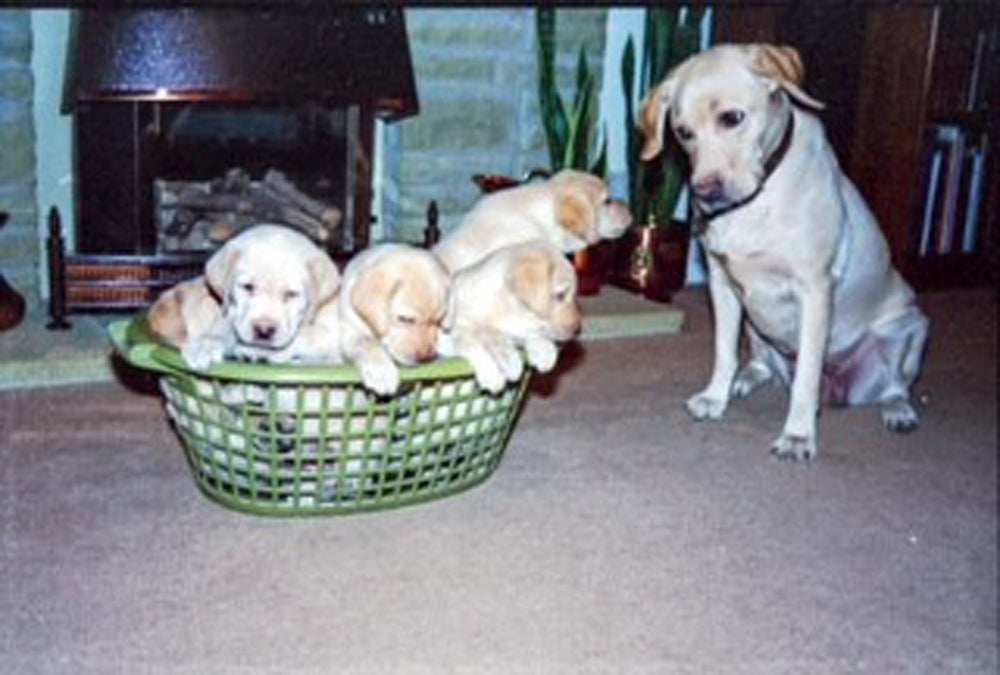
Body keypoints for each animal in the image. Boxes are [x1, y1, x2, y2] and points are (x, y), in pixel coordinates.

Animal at [153, 224, 344, 370]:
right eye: (248, 287)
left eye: (291, 294)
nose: (264, 331)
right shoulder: (231, 311)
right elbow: (225, 325)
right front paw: (206, 344)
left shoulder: (331, 335)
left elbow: (304, 334)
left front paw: (259, 351)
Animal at [342, 244, 456, 396]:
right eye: (405, 319)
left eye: (438, 320)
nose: (425, 358)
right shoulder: (350, 333)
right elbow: (367, 344)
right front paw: (381, 372)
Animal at [440, 240, 584, 394]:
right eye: (560, 295)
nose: (578, 330)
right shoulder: (457, 329)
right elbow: (480, 342)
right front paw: (494, 372)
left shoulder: (520, 328)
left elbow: (529, 334)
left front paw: (544, 350)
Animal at [640, 45, 928, 462]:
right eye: (683, 132)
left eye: (732, 118)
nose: (705, 192)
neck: (757, 200)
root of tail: (839, 390)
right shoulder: (722, 284)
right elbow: (724, 351)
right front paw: (715, 397)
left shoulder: (815, 290)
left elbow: (807, 375)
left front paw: (798, 435)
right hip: (756, 323)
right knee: (762, 364)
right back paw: (743, 380)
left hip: (909, 329)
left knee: (896, 387)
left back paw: (898, 411)